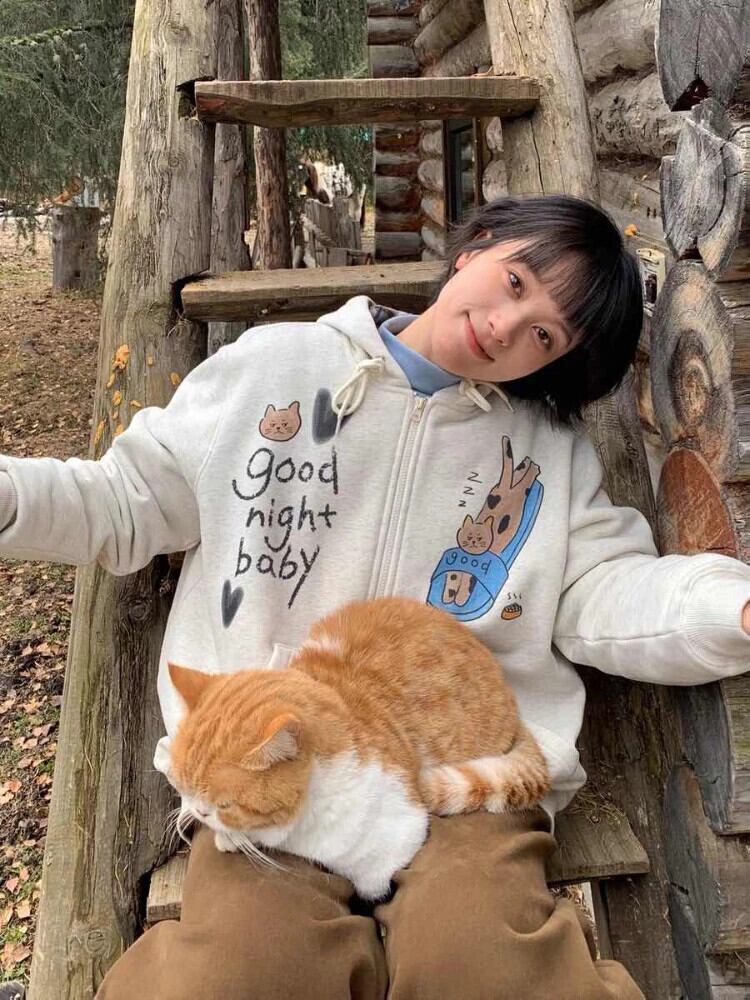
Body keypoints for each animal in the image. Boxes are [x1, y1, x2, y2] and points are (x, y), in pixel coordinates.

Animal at [166, 596, 550, 900]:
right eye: (182, 788)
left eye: (224, 805)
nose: (198, 813)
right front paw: (232, 837)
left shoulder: (397, 837)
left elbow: (374, 881)